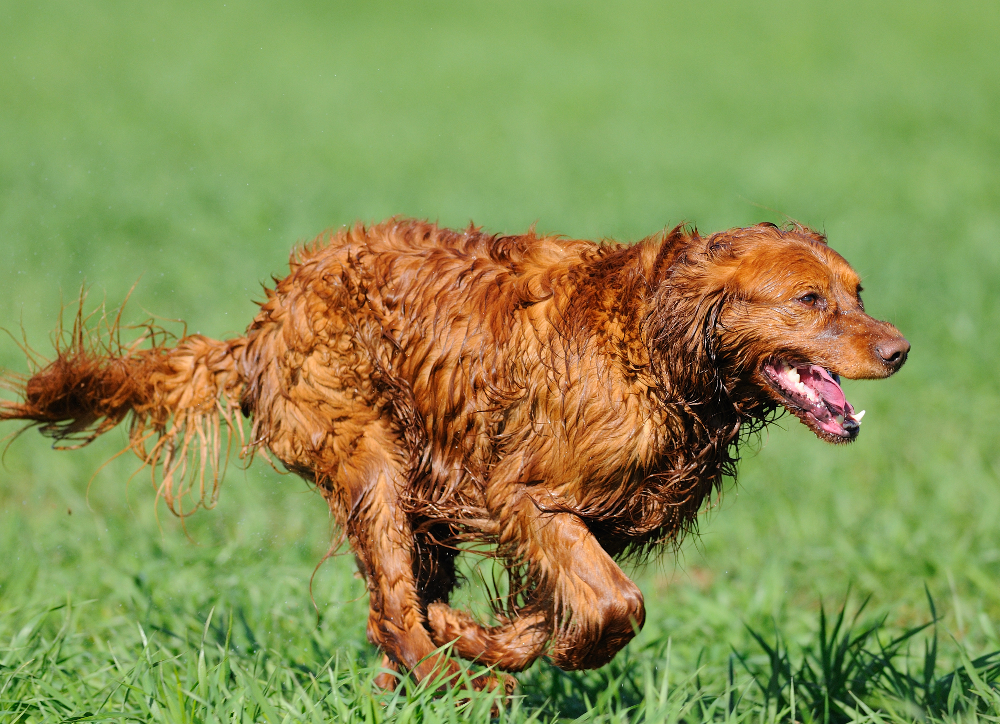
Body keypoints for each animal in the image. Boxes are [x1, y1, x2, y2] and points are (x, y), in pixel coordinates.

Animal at [0, 219, 908, 692]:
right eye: (808, 300)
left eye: (858, 291)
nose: (900, 350)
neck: (658, 343)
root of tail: (256, 329)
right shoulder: (528, 495)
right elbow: (617, 605)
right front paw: (547, 654)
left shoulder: (597, 520)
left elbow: (559, 608)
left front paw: (490, 638)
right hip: (371, 461)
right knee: (392, 613)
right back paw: (451, 681)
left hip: (412, 495)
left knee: (402, 610)